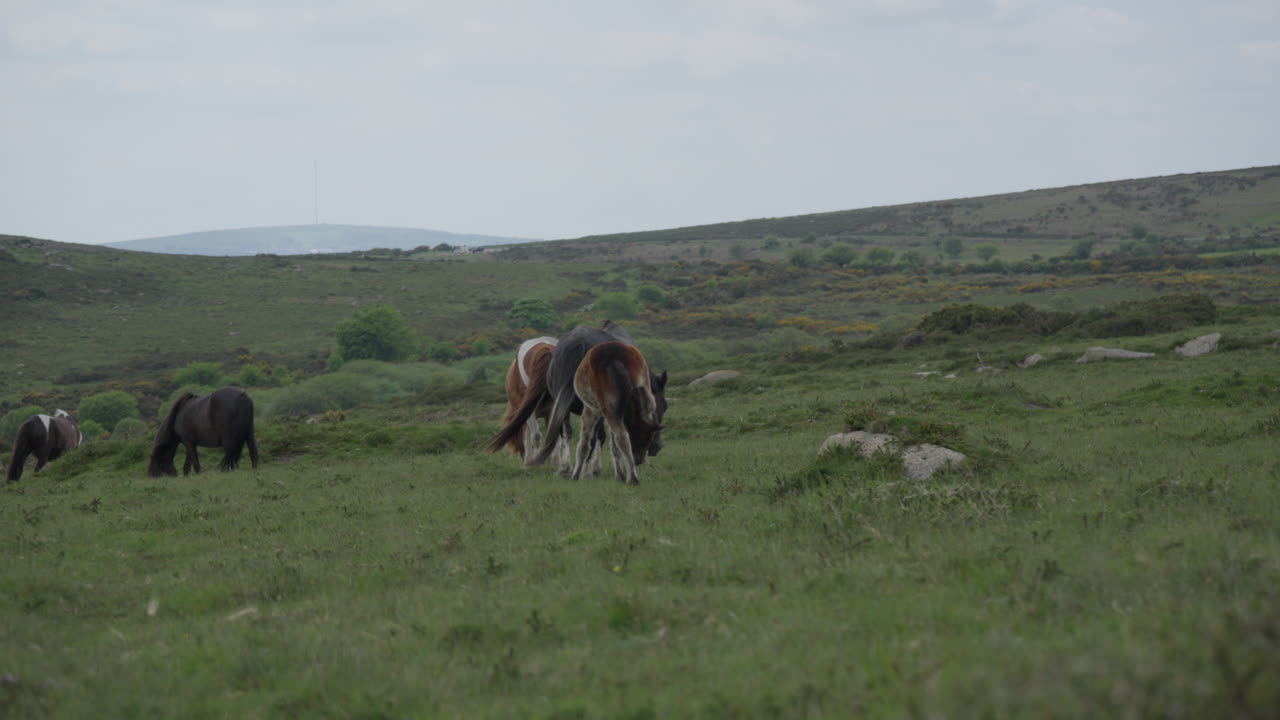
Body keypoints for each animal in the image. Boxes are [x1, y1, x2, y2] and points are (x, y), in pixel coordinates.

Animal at [570, 341, 664, 485]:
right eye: (644, 441)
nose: (638, 460)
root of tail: (614, 359)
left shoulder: (591, 410)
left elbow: (584, 443)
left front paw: (575, 475)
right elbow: (614, 447)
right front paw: (620, 475)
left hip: (608, 409)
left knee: (622, 437)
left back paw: (633, 478)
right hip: (647, 399)